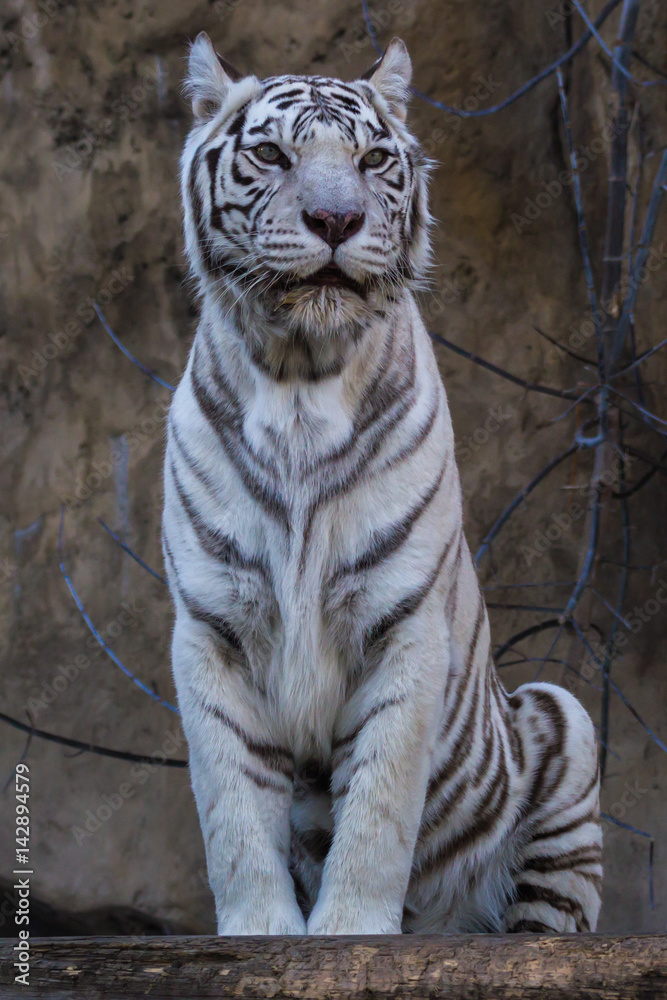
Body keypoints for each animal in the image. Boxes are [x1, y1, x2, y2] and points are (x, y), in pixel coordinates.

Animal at [162, 32, 602, 935]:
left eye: (370, 159)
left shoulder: (403, 624)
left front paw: (349, 933)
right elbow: (231, 805)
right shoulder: (212, 628)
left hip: (560, 719)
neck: (298, 381)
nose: (336, 221)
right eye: (270, 154)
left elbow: (379, 804)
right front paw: (262, 931)